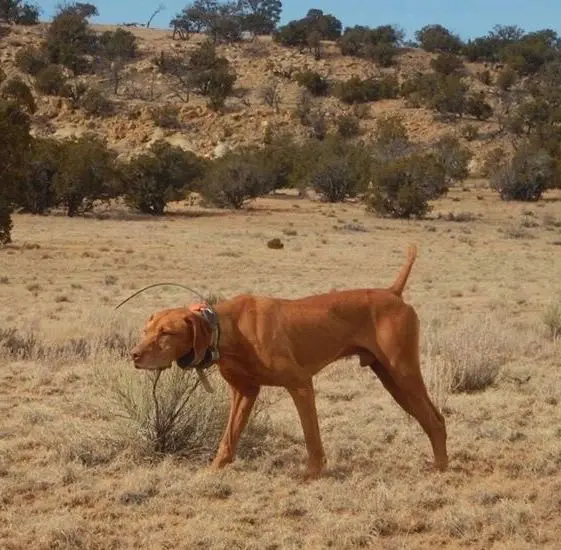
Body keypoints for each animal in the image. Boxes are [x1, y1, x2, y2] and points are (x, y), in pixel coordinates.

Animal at [130, 248, 446, 480]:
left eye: (166, 333)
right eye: (146, 331)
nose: (133, 355)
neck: (228, 329)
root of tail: (393, 292)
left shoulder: (301, 384)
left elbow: (311, 436)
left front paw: (313, 473)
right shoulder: (244, 392)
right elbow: (229, 437)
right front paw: (214, 469)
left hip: (403, 373)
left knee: (436, 419)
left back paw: (441, 469)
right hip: (391, 380)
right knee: (431, 419)